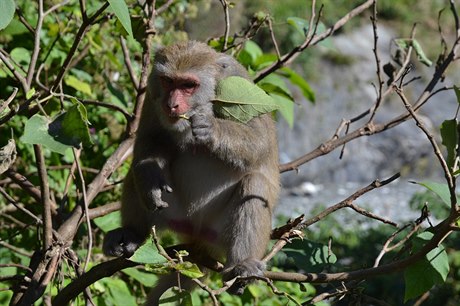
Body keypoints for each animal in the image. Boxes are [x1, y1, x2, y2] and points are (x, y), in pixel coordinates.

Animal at [102, 40, 278, 304]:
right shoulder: (152, 97)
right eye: (168, 81)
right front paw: (151, 174)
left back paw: (242, 264)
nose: (171, 104)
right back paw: (132, 233)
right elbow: (149, 139)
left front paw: (212, 129)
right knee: (136, 172)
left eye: (188, 85)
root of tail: (198, 237)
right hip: (175, 215)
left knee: (254, 184)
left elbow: (260, 142)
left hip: (218, 231)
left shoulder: (237, 82)